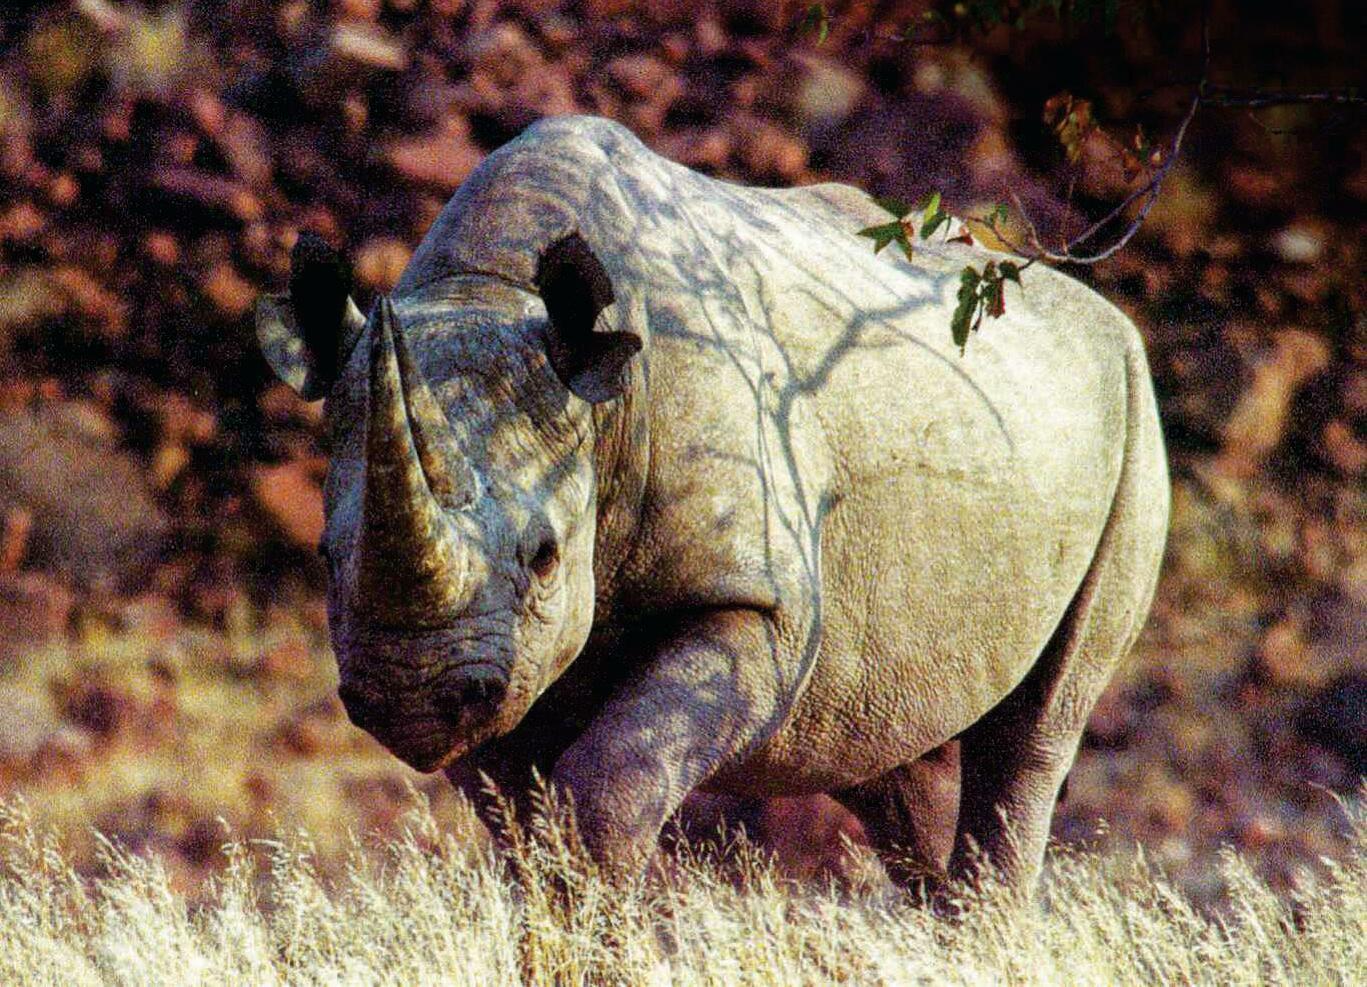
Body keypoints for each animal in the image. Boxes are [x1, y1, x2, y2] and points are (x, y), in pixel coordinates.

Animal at [257, 115, 1169, 895]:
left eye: (544, 556)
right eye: (325, 558)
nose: (410, 696)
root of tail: (1106, 315)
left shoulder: (758, 601)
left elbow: (603, 790)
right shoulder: (507, 668)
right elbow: (526, 832)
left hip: (1128, 404)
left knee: (1033, 735)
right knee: (898, 754)